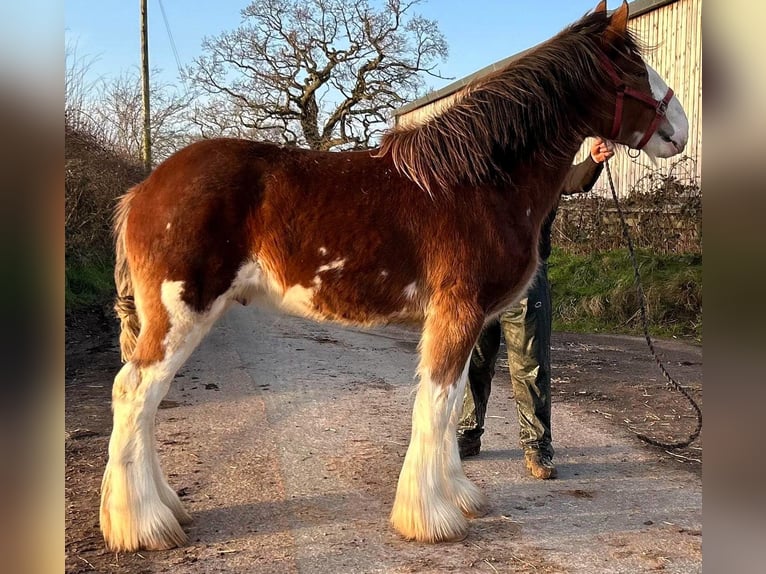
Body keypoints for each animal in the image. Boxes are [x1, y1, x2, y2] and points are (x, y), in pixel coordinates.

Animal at [99, 2, 692, 556]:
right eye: (633, 70)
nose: (681, 130)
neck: (479, 181)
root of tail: (143, 190)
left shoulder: (465, 319)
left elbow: (452, 403)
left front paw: (458, 496)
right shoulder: (458, 312)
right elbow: (436, 404)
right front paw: (431, 518)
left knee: (142, 400)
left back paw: (162, 509)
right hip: (181, 313)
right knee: (134, 393)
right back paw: (144, 525)